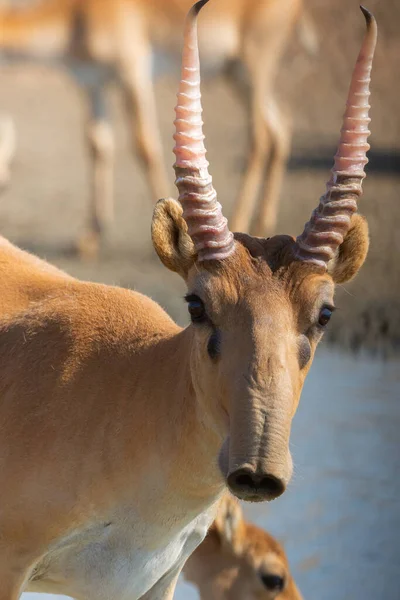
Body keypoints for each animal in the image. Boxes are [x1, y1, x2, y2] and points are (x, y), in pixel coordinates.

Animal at [0, 0, 318, 255]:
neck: (76, 15)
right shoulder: (94, 85)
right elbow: (98, 147)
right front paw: (90, 238)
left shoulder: (133, 74)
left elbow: (145, 146)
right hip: (235, 74)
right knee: (281, 128)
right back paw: (262, 221)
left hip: (254, 67)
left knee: (259, 137)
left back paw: (239, 221)